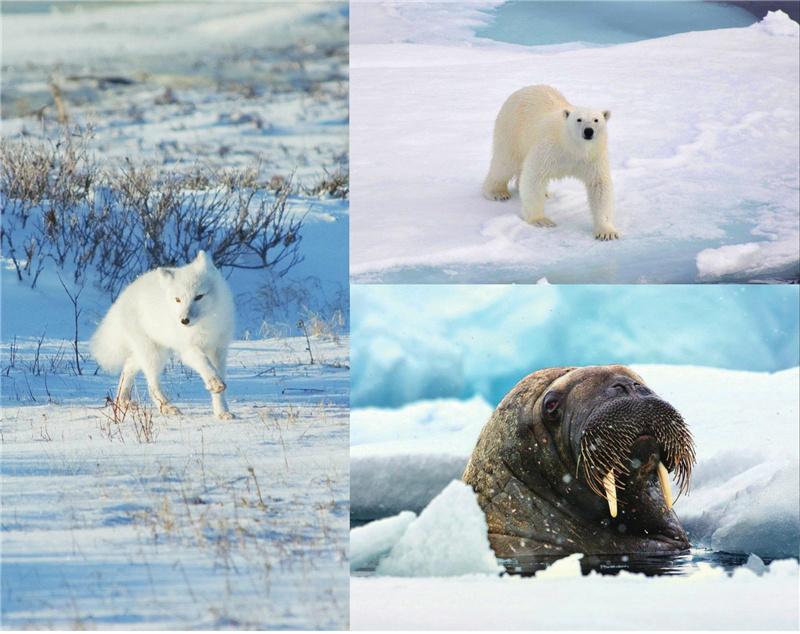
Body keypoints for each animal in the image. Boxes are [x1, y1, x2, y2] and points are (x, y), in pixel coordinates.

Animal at [90, 249, 236, 418]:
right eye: (178, 299)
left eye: (199, 296)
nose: (184, 320)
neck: (206, 324)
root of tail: (124, 295)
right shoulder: (188, 349)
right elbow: (204, 362)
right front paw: (214, 383)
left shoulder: (219, 350)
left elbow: (218, 380)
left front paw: (222, 412)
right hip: (154, 353)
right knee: (152, 385)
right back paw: (166, 407)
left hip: (154, 351)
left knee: (129, 363)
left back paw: (123, 401)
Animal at [482, 84, 620, 239]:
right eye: (579, 119)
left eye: (596, 120)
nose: (588, 131)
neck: (572, 147)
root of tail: (524, 89)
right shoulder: (549, 148)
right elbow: (534, 175)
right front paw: (541, 220)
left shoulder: (593, 156)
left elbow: (599, 185)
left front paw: (607, 232)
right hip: (511, 129)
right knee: (505, 162)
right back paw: (497, 193)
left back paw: (543, 192)